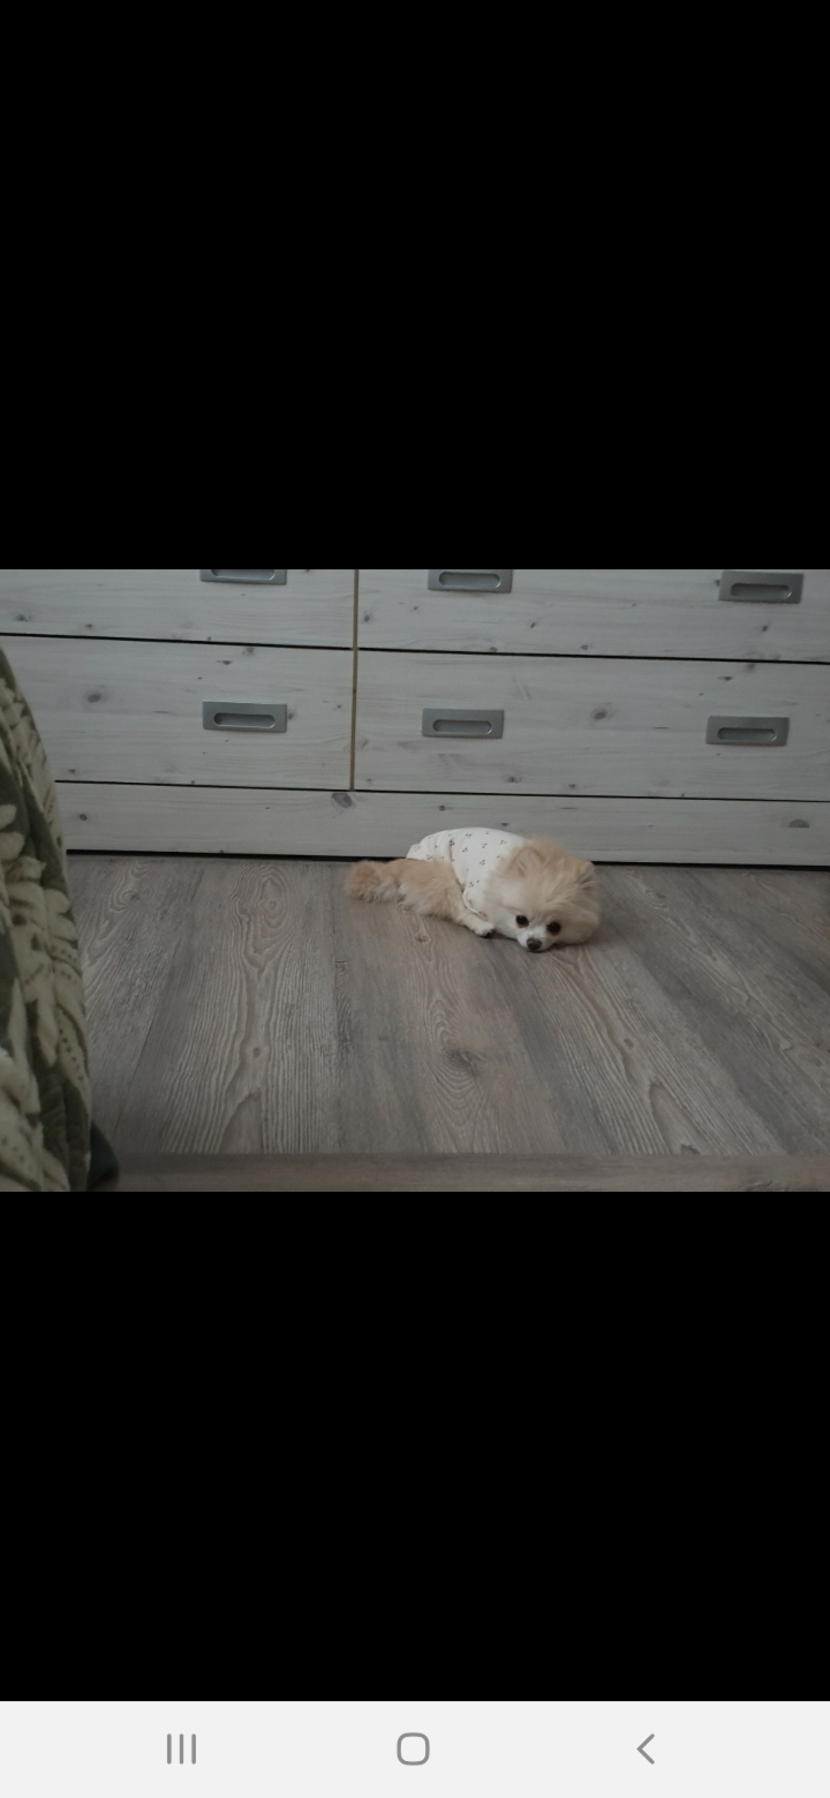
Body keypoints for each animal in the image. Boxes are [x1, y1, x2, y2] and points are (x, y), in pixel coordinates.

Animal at [345, 827, 600, 951]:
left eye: (555, 927)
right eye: (521, 920)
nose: (534, 944)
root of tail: (402, 863)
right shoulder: (473, 895)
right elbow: (464, 909)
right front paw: (482, 922)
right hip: (442, 875)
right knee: (455, 908)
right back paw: (481, 926)